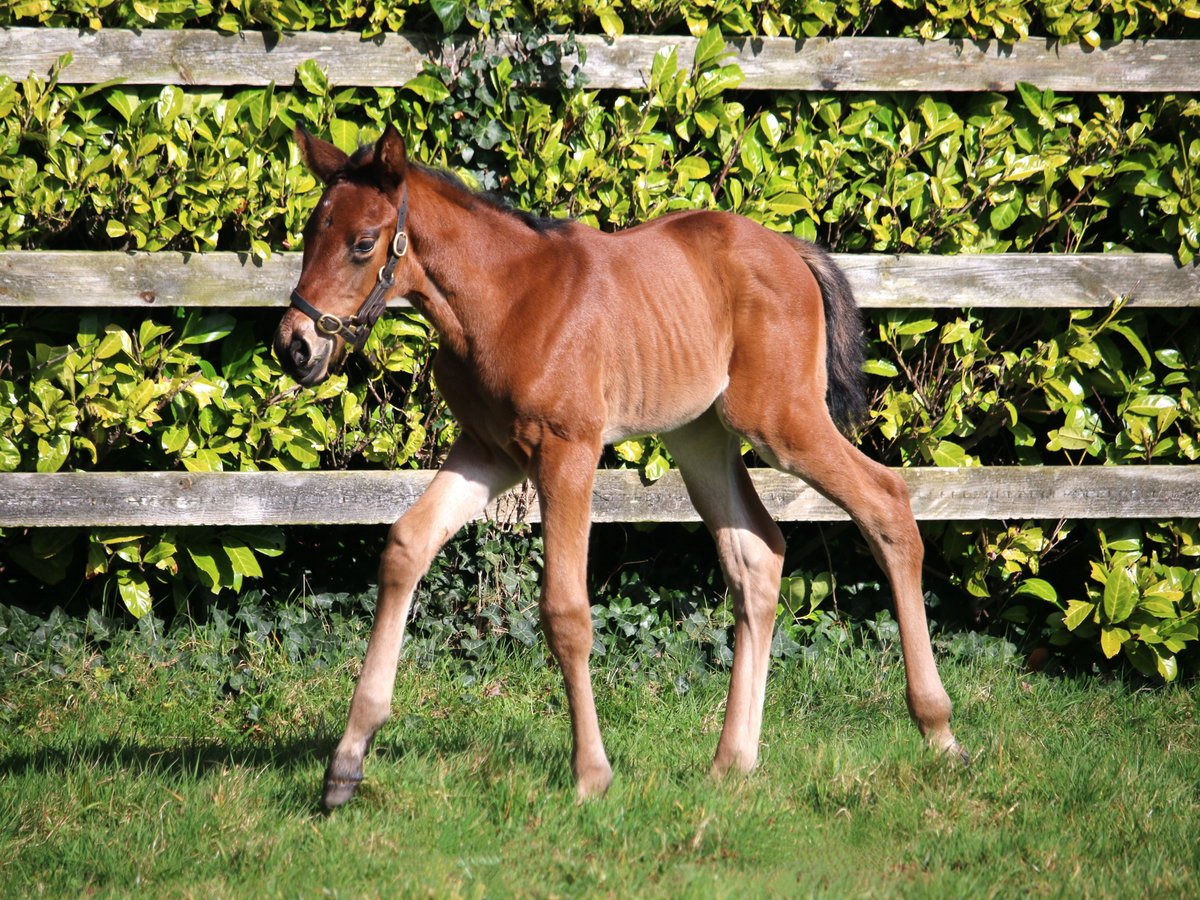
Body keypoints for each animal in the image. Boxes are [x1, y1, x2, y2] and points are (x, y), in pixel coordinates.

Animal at [274, 125, 964, 811]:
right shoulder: (488, 452)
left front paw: (591, 774)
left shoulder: (568, 452)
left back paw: (938, 731)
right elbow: (405, 547)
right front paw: (345, 764)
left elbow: (566, 611)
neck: (503, 299)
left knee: (886, 500)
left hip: (781, 422)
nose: (294, 347)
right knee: (758, 554)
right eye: (309, 233)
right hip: (700, 436)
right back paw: (733, 762)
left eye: (363, 243)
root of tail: (793, 250)